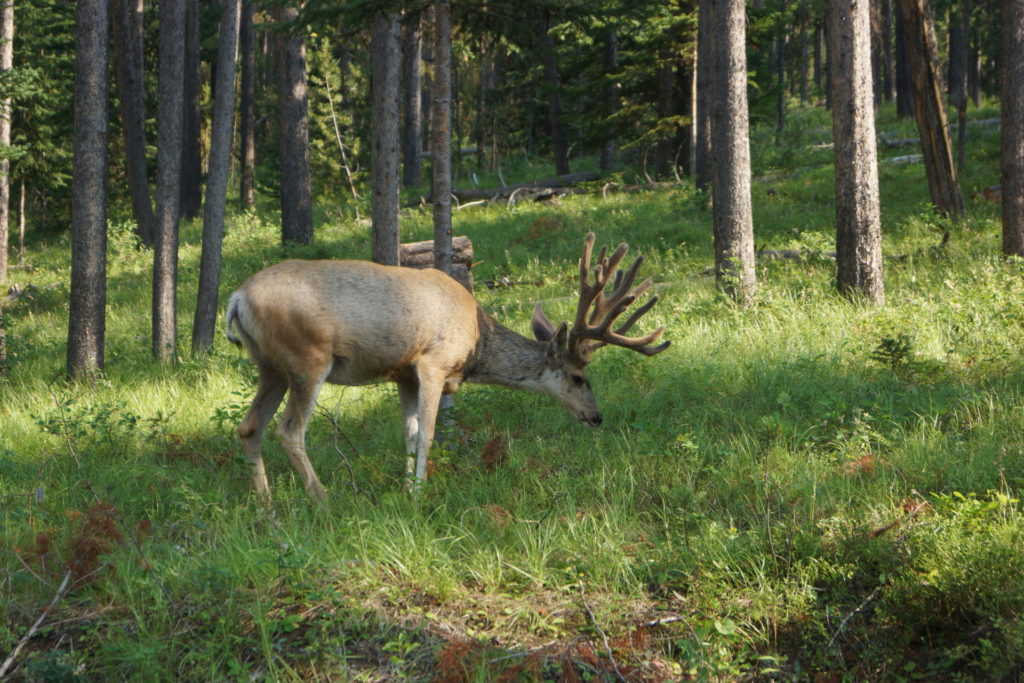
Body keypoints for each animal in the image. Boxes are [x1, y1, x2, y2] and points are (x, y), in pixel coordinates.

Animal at [226, 232, 671, 499]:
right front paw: (421, 493)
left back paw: (265, 502)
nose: (596, 417)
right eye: (579, 377)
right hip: (308, 358)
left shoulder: (402, 374)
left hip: (270, 366)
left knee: (249, 426)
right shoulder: (432, 363)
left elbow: (407, 434)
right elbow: (428, 432)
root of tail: (237, 297)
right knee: (289, 430)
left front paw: (406, 488)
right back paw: (321, 497)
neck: (476, 345)